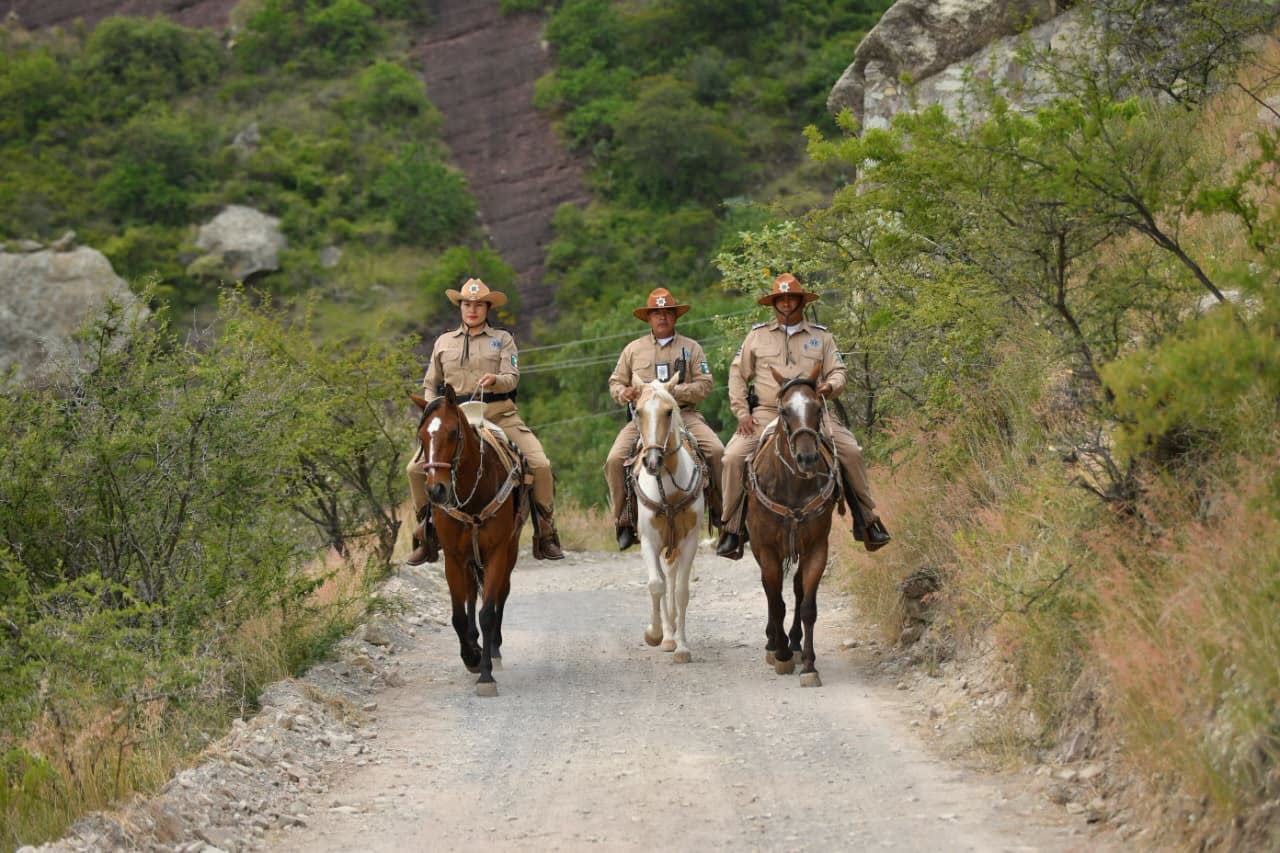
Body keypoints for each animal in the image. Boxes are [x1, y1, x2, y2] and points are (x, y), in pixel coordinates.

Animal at [409, 385, 528, 696]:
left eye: (453, 433)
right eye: (422, 436)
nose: (436, 490)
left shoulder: (497, 552)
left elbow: (487, 612)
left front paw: (485, 673)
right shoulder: (453, 557)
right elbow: (459, 615)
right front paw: (470, 657)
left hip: (509, 552)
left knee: (500, 595)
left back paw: (494, 649)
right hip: (470, 559)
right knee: (472, 596)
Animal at [630, 375, 706, 664]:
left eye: (669, 411)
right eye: (638, 411)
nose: (652, 461)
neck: (668, 491)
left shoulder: (689, 542)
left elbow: (681, 591)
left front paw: (682, 647)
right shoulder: (649, 541)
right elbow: (655, 585)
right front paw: (654, 634)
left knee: (671, 578)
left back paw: (673, 630)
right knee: (662, 580)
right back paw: (666, 636)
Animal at [746, 363, 840, 687]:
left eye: (817, 408)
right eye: (785, 410)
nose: (807, 457)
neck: (792, 486)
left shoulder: (817, 548)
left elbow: (808, 605)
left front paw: (809, 664)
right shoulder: (766, 550)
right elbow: (775, 600)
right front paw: (782, 654)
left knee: (797, 590)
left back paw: (796, 643)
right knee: (770, 592)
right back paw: (774, 643)